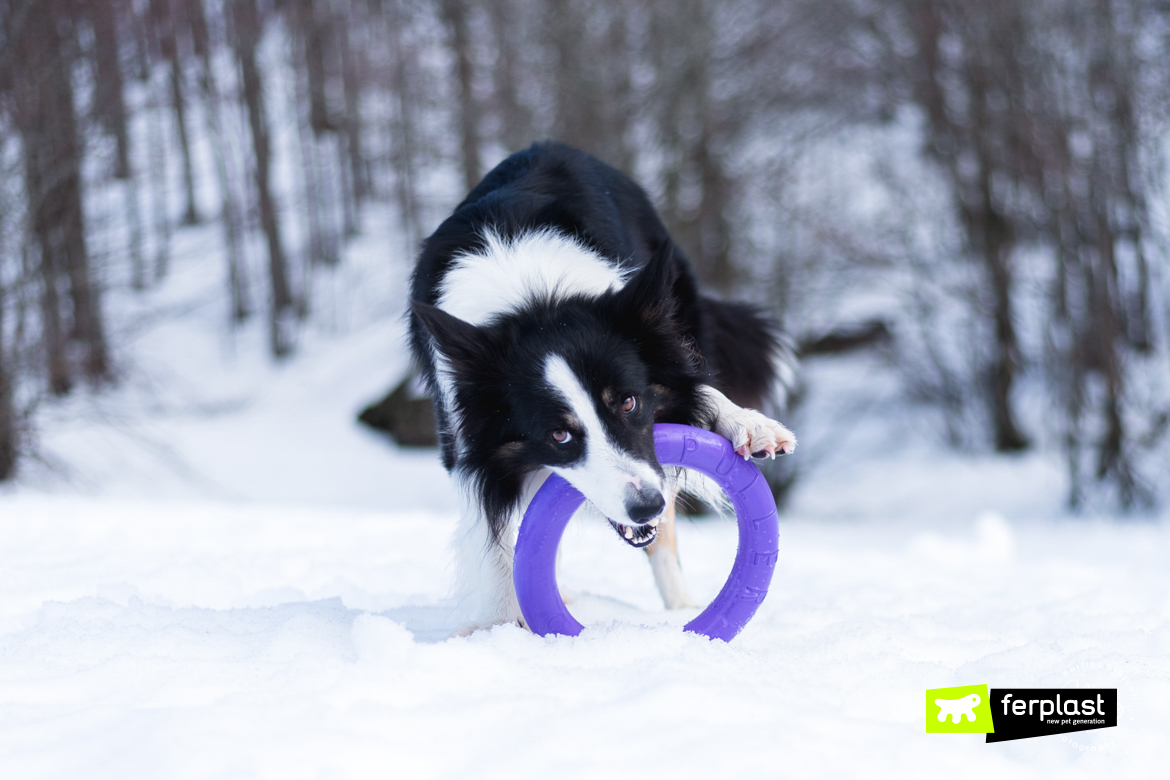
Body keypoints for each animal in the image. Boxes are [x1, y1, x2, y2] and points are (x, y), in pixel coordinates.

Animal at [409, 142, 795, 636]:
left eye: (628, 402)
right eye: (558, 435)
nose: (644, 507)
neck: (536, 302)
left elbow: (701, 392)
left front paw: (749, 424)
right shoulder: (466, 438)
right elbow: (490, 535)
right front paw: (497, 627)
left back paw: (683, 609)